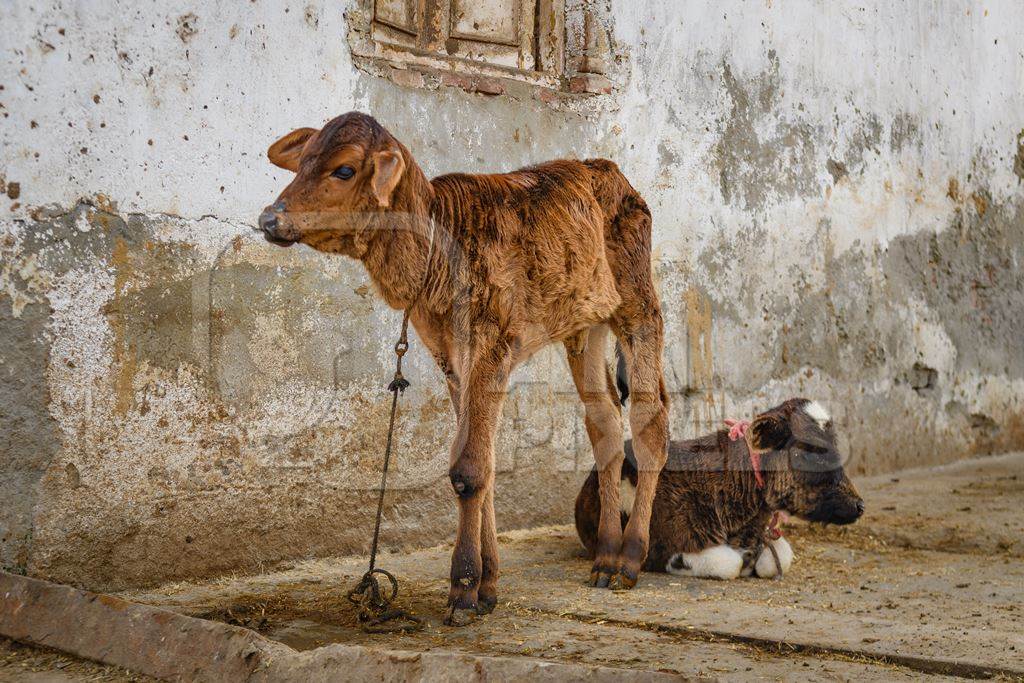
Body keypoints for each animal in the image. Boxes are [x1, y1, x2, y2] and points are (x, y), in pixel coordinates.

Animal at [260, 112, 667, 626]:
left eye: (345, 169)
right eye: (304, 160)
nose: (270, 218)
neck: (436, 250)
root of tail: (606, 169)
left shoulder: (491, 348)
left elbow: (469, 469)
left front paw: (464, 588)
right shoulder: (451, 359)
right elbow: (480, 462)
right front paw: (488, 584)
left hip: (639, 306)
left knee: (650, 426)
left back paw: (630, 558)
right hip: (586, 328)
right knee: (605, 427)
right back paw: (606, 558)